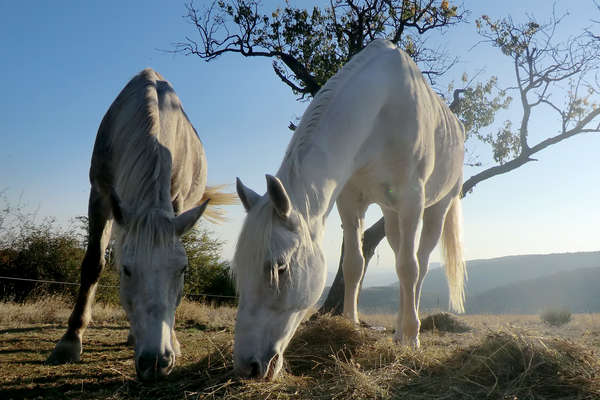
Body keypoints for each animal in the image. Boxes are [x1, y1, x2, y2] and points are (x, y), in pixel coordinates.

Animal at [47, 69, 234, 382]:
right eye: (126, 270)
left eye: (183, 270)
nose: (156, 361)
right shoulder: (100, 195)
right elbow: (93, 264)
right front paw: (70, 341)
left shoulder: (177, 204)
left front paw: (172, 340)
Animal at [232, 39, 466, 380]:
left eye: (279, 268)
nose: (247, 366)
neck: (381, 110)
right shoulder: (350, 202)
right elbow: (354, 264)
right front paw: (350, 325)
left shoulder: (412, 199)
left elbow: (409, 268)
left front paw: (412, 340)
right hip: (391, 212)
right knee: (399, 253)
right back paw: (397, 330)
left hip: (437, 206)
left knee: (419, 264)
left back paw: (408, 332)